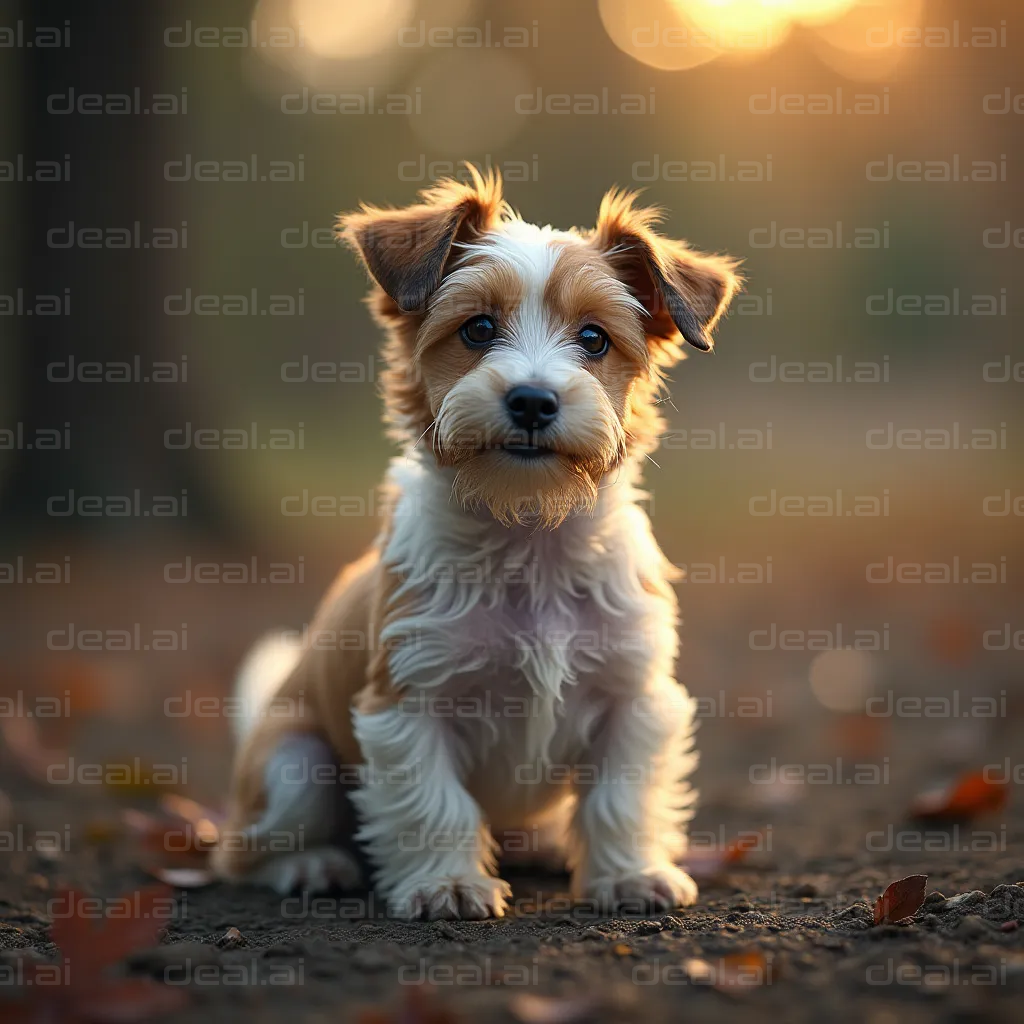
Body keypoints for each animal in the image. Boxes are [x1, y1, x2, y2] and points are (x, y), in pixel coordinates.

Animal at [211, 167, 741, 921]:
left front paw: (628, 875)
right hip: (295, 766)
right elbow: (436, 804)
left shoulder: (632, 695)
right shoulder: (410, 703)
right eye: (479, 328)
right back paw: (312, 866)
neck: (527, 532)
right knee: (240, 853)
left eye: (594, 338)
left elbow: (620, 798)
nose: (532, 400)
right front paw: (448, 883)